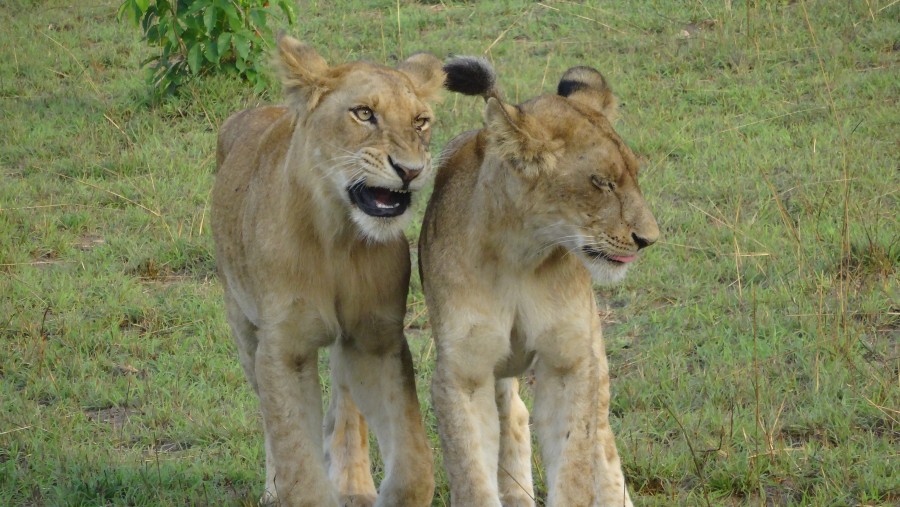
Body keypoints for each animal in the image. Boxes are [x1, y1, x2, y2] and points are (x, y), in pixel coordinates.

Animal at [210, 33, 450, 506]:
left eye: (421, 121)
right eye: (364, 113)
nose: (411, 171)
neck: (338, 238)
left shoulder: (377, 338)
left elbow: (414, 462)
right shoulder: (283, 348)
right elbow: (295, 457)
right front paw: (291, 485)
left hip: (348, 341)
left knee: (344, 409)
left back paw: (353, 486)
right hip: (242, 325)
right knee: (269, 416)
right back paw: (274, 489)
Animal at [418, 57, 656, 506]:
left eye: (634, 175)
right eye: (602, 183)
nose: (649, 239)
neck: (520, 254)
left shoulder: (569, 362)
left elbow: (576, 466)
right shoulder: (464, 372)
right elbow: (473, 477)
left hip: (594, 355)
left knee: (603, 442)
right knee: (513, 417)